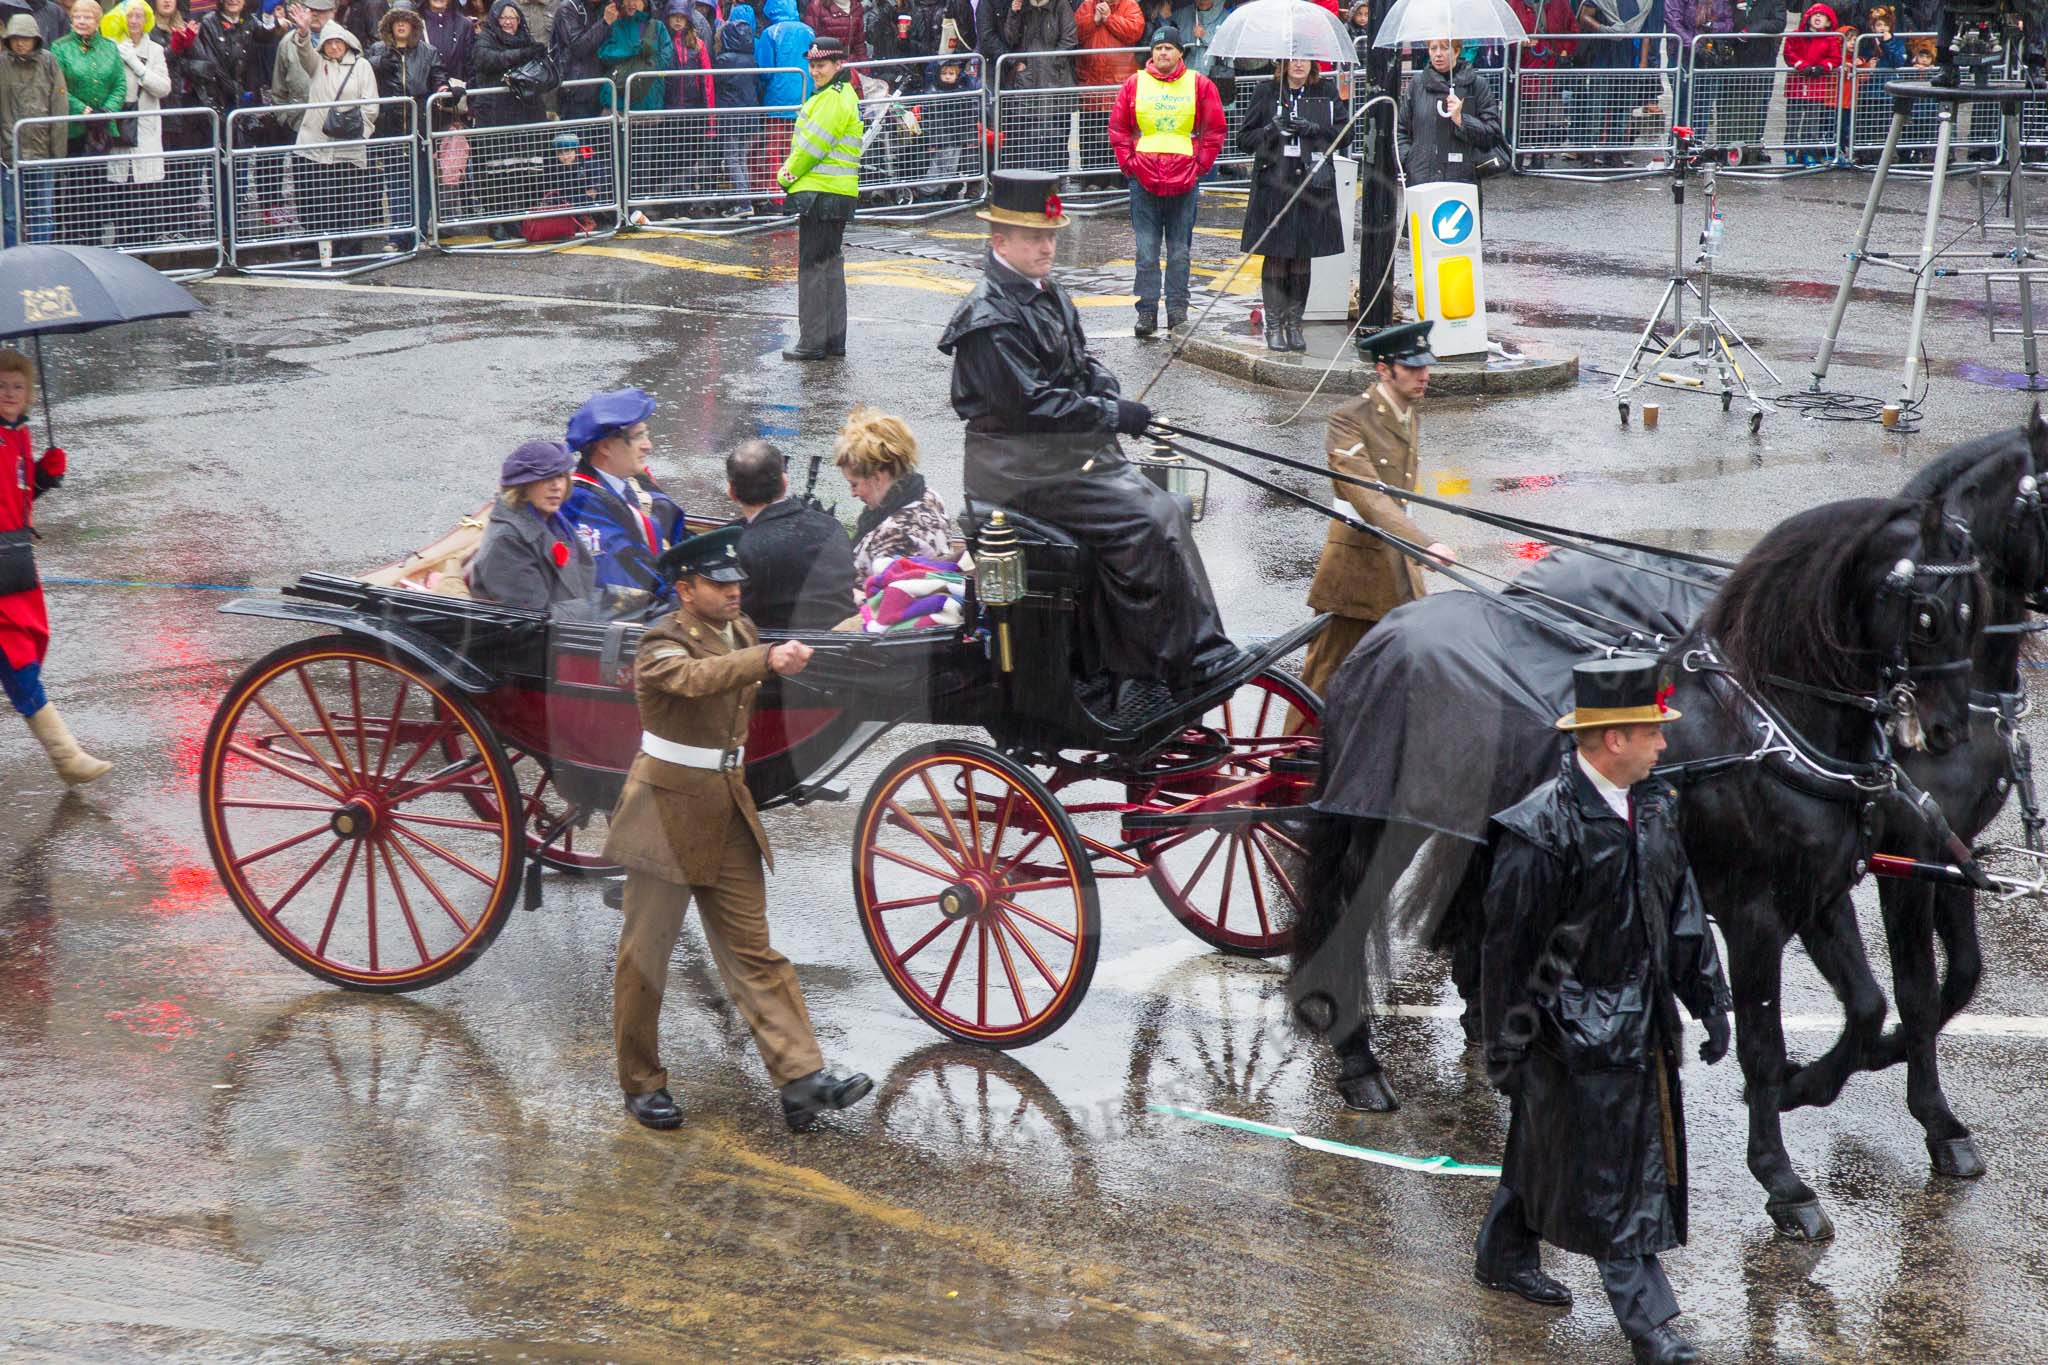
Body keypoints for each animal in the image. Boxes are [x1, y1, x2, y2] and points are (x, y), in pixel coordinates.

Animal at [1294, 491, 1982, 1236]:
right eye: (1928, 612)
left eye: (1976, 607)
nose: (1949, 732)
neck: (1764, 729)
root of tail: (1377, 637)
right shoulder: (1755, 916)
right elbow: (1763, 1044)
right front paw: (1782, 1178)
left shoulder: (1819, 894)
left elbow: (1868, 1004)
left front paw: (1810, 1088)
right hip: (1382, 828)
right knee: (1343, 919)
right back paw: (1359, 1063)